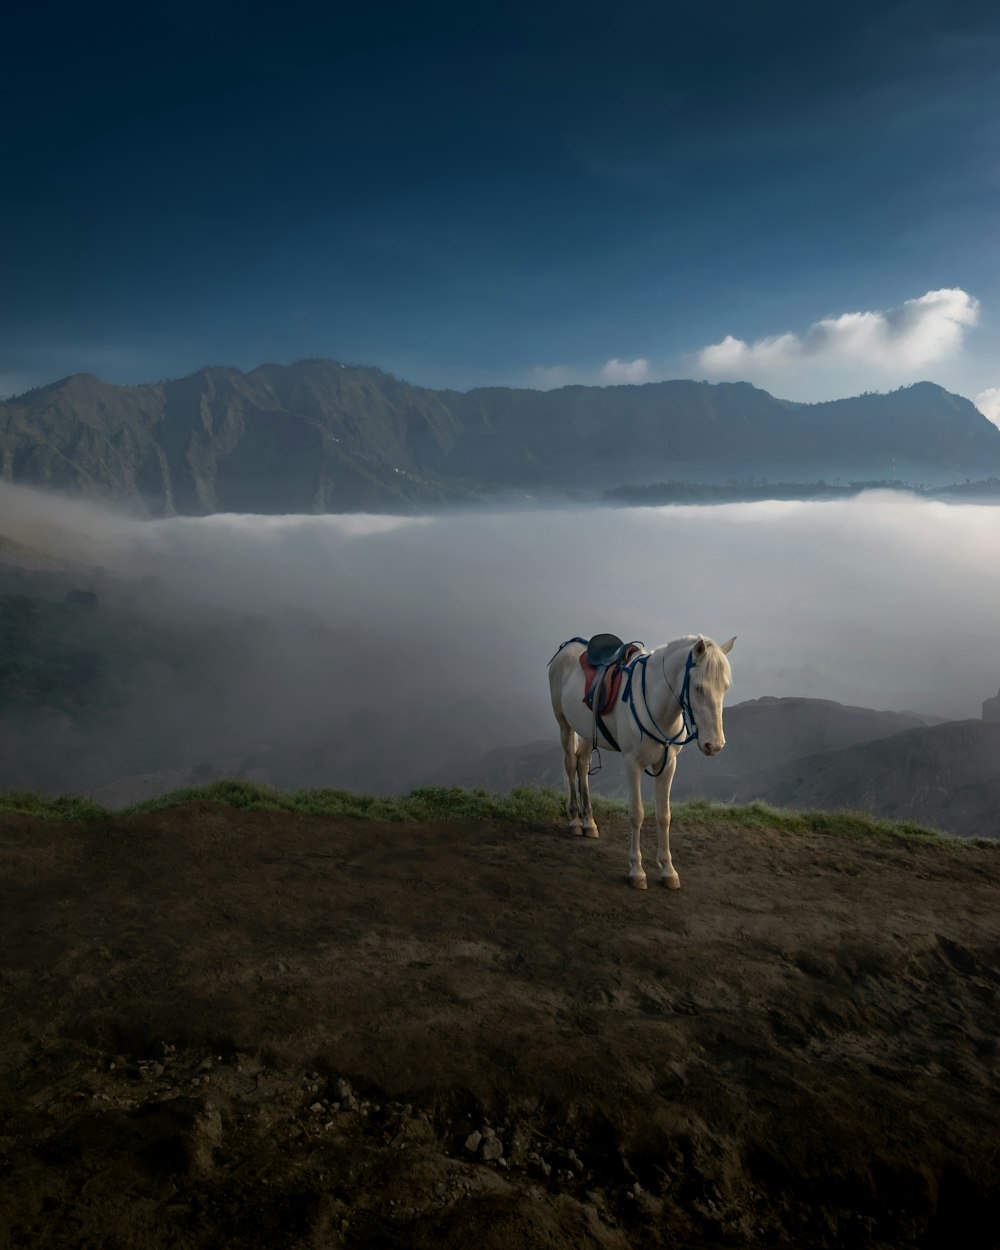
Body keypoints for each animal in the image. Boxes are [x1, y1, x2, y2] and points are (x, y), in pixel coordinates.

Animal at [547, 635, 735, 890]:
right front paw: (637, 870)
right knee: (569, 764)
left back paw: (589, 822)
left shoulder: (668, 765)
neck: (657, 707)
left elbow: (664, 815)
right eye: (698, 687)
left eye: (725, 687)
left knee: (582, 765)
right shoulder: (632, 764)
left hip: (587, 732)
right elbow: (637, 814)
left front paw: (668, 870)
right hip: (564, 725)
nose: (714, 745)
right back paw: (575, 820)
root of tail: (568, 645)